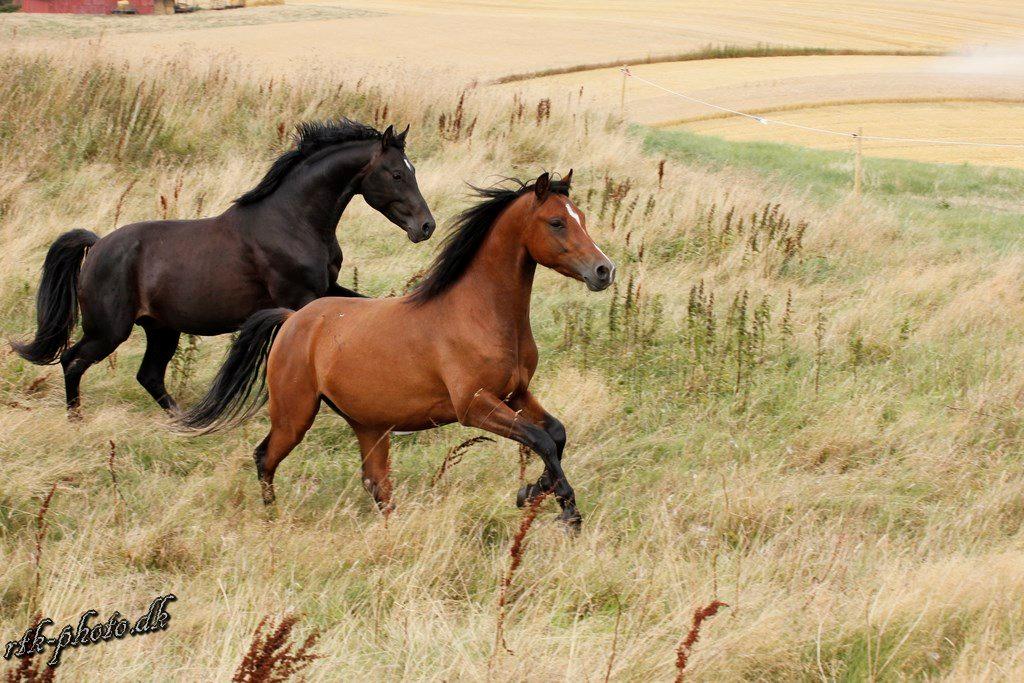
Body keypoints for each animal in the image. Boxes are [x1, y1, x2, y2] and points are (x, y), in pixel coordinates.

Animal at [12, 119, 435, 416]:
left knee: (148, 375)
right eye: (397, 173)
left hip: (161, 329)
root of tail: (97, 245)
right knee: (72, 361)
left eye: (412, 171)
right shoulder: (298, 298)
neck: (292, 221)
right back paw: (76, 419)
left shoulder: (325, 289)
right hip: (108, 330)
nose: (426, 226)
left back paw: (184, 420)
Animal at [177, 171, 615, 529]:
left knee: (376, 483)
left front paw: (534, 492)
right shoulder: (474, 405)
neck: (479, 311)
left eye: (581, 217)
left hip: (369, 424)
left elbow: (555, 434)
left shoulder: (516, 393)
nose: (604, 271)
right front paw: (566, 510)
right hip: (294, 415)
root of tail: (292, 319)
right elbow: (540, 440)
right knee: (265, 458)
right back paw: (273, 520)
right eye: (556, 222)